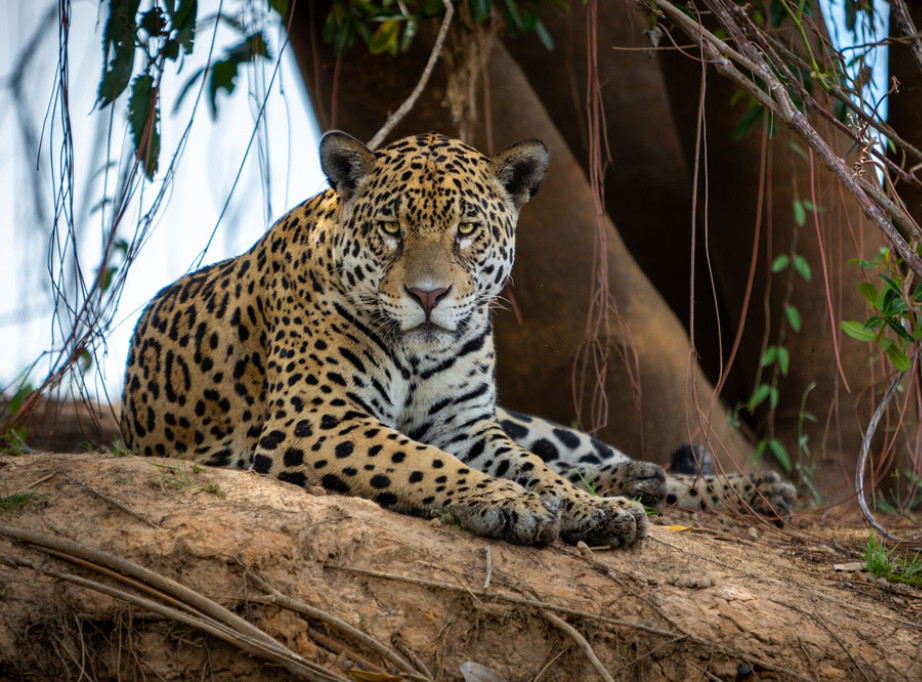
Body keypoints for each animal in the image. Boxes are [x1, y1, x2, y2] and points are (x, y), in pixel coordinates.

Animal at [121, 131, 794, 549]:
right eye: (391, 229)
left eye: (466, 229)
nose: (428, 296)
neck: (420, 354)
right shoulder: (316, 419)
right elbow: (418, 459)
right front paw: (517, 505)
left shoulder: (468, 424)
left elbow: (532, 468)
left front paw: (584, 509)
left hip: (526, 419)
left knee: (583, 457)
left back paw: (737, 489)